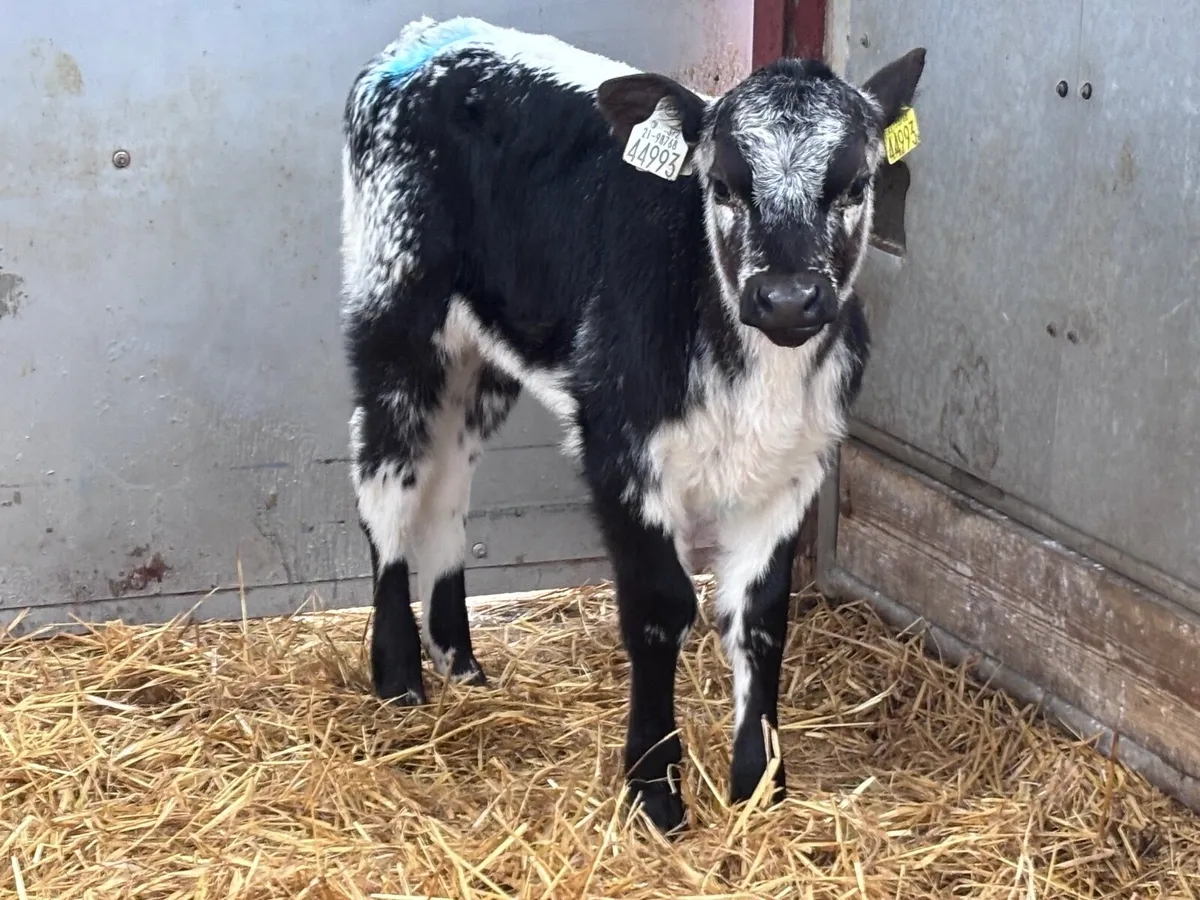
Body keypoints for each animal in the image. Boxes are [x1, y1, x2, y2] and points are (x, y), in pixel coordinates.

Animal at [340, 16, 925, 833]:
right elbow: (660, 607)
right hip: (394, 310)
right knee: (387, 482)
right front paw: (655, 788)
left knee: (448, 488)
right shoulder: (619, 445)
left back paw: (460, 660)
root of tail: (425, 38)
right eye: (722, 184)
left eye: (856, 185)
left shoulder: (795, 467)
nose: (787, 298)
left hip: (482, 356)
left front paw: (760, 786)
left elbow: (761, 617)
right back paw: (398, 678)